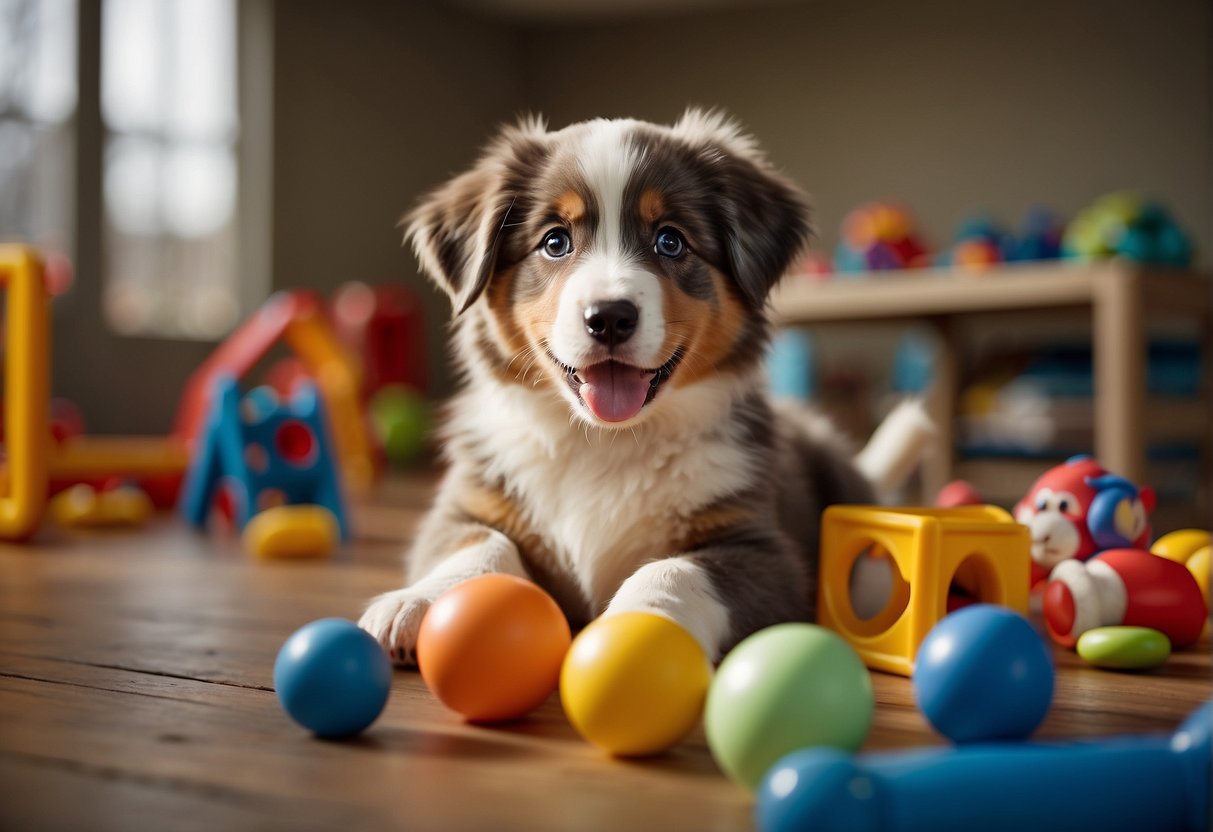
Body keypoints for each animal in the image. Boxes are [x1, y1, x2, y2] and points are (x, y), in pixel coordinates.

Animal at [359, 110, 926, 669]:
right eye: (555, 241)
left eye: (670, 240)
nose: (609, 317)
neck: (605, 442)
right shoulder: (468, 502)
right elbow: (477, 545)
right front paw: (416, 601)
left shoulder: (763, 550)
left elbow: (673, 569)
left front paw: (641, 624)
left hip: (829, 457)